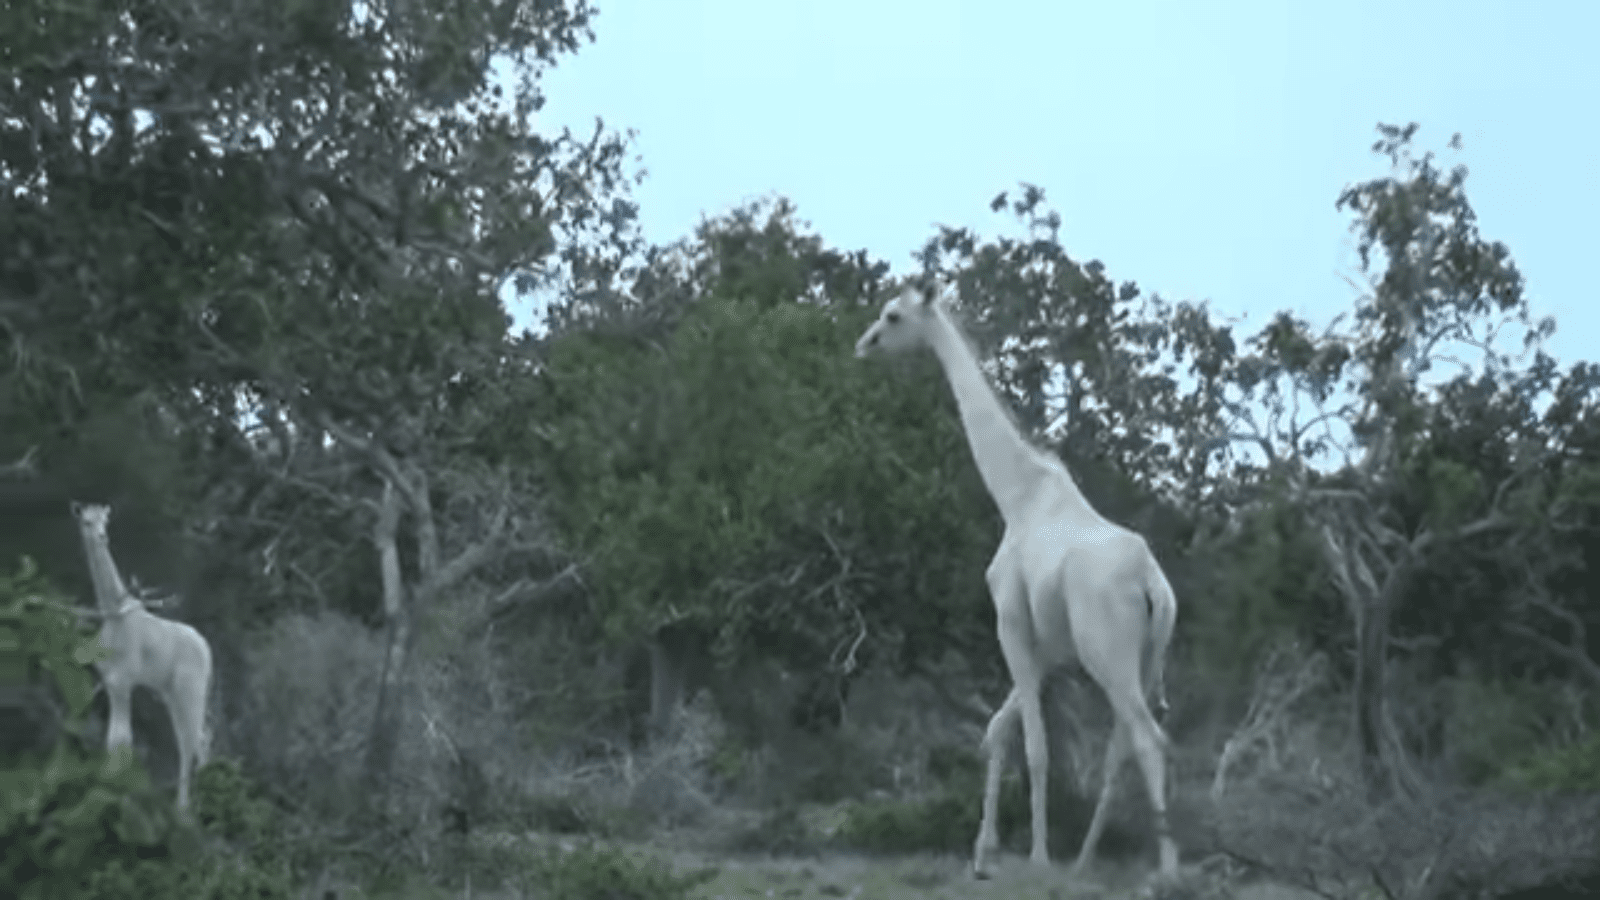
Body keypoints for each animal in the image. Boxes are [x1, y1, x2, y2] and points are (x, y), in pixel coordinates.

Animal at [71, 501, 213, 810]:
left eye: (105, 521)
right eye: (86, 521)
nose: (102, 537)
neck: (113, 616)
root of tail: (208, 652)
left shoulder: (123, 681)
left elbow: (121, 739)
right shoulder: (108, 680)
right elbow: (112, 736)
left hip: (189, 690)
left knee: (190, 739)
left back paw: (184, 807)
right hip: (171, 693)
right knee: (197, 737)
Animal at [855, 283, 1179, 878]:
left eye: (893, 316)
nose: (865, 344)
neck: (1017, 496)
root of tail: (1154, 587)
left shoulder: (1009, 623)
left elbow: (1034, 746)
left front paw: (1034, 856)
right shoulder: (1048, 647)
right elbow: (996, 730)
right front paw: (984, 853)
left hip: (1107, 654)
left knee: (1147, 739)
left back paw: (1164, 868)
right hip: (1145, 661)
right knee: (1122, 747)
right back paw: (1086, 861)